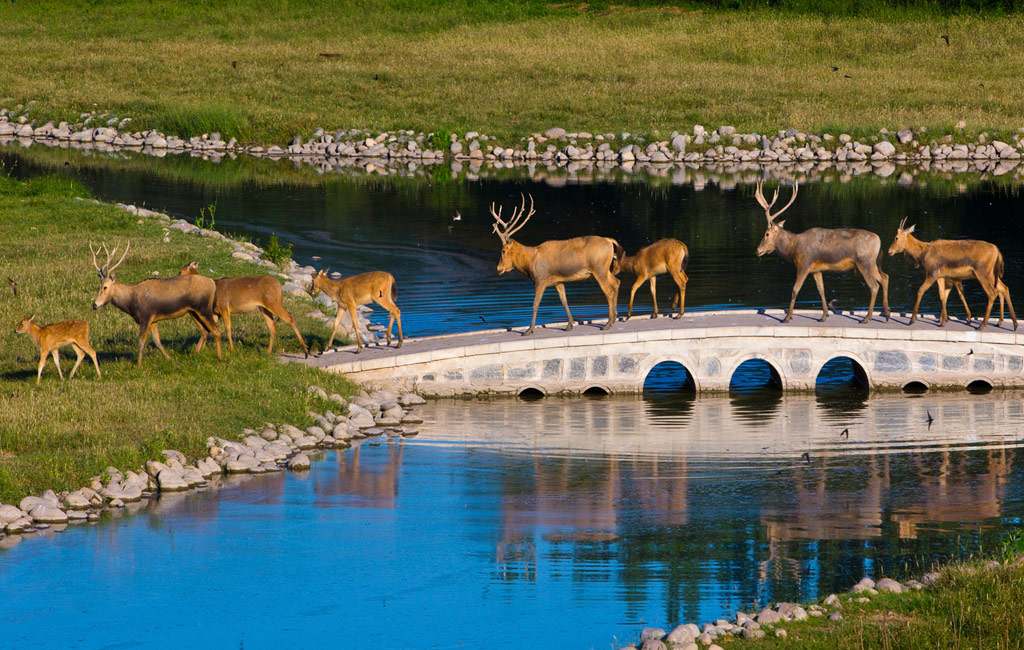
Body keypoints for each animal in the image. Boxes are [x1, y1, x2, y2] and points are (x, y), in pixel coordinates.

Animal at [89, 243, 222, 366]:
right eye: (99, 286)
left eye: (105, 287)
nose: (95, 305)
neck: (131, 303)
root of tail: (212, 284)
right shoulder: (154, 320)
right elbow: (157, 341)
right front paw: (169, 358)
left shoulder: (146, 316)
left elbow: (141, 342)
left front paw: (138, 365)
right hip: (194, 311)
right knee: (205, 331)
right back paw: (195, 353)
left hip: (203, 308)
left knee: (216, 330)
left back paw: (219, 357)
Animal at [179, 262, 307, 358]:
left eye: (180, 271)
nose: (177, 276)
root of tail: (280, 287)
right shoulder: (215, 312)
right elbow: (209, 328)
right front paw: (203, 349)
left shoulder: (224, 307)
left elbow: (228, 329)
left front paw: (232, 351)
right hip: (264, 308)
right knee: (272, 326)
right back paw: (268, 352)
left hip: (274, 303)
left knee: (290, 318)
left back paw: (305, 351)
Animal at [489, 193, 622, 335]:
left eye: (503, 250)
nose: (499, 268)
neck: (529, 262)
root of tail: (609, 241)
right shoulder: (558, 281)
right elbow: (564, 301)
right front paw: (569, 325)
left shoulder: (540, 279)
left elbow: (535, 304)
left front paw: (529, 330)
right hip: (605, 269)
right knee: (616, 282)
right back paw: (614, 318)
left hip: (599, 269)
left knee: (608, 291)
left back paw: (608, 323)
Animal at [753, 180, 888, 325]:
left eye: (766, 234)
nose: (757, 250)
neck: (792, 249)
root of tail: (879, 241)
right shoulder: (816, 270)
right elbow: (821, 290)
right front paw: (824, 316)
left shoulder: (804, 265)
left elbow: (795, 290)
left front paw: (786, 318)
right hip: (872, 263)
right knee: (885, 277)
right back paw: (887, 314)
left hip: (864, 262)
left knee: (874, 286)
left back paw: (867, 318)